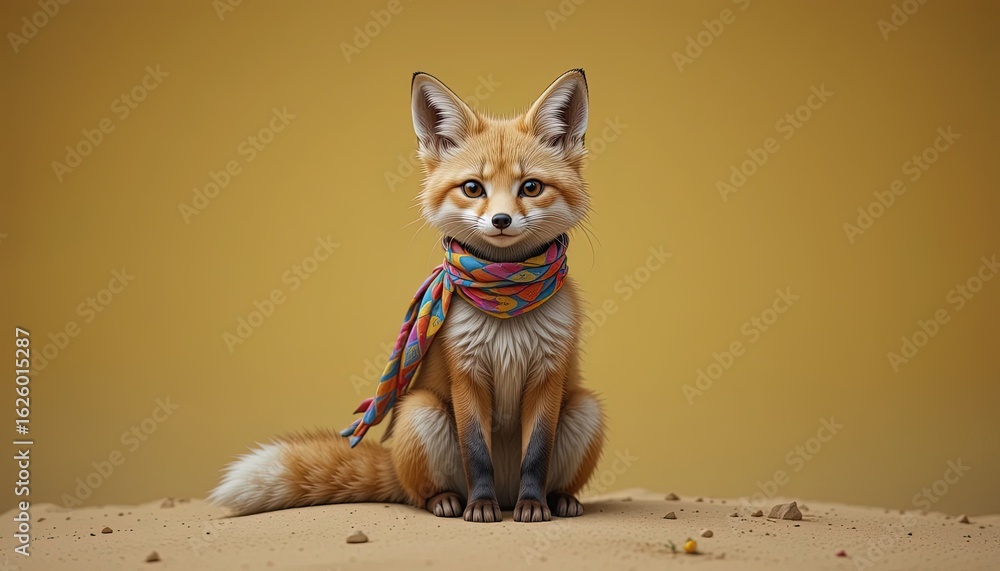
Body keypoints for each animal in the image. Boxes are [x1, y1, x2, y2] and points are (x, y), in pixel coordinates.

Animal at [209, 69, 605, 523]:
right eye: (474, 188)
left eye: (532, 187)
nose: (501, 220)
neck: (506, 297)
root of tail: (393, 461)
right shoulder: (465, 373)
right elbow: (476, 454)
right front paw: (480, 507)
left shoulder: (548, 374)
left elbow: (537, 454)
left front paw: (533, 506)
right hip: (421, 410)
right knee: (420, 494)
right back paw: (452, 500)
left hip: (585, 408)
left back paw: (557, 500)